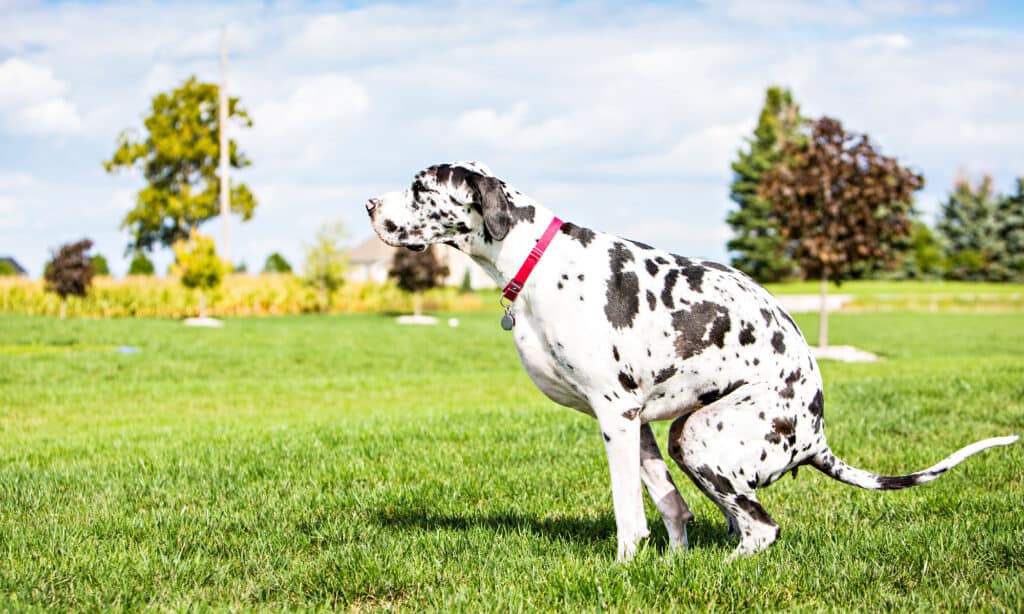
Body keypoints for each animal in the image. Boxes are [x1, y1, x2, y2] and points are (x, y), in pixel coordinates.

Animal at [366, 159, 1015, 560]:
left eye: (422, 188)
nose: (370, 202)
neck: (538, 261)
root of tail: (817, 434)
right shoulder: (637, 421)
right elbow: (669, 504)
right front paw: (672, 562)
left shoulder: (615, 416)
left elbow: (629, 513)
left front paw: (625, 567)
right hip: (685, 436)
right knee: (740, 517)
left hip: (703, 437)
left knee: (763, 527)